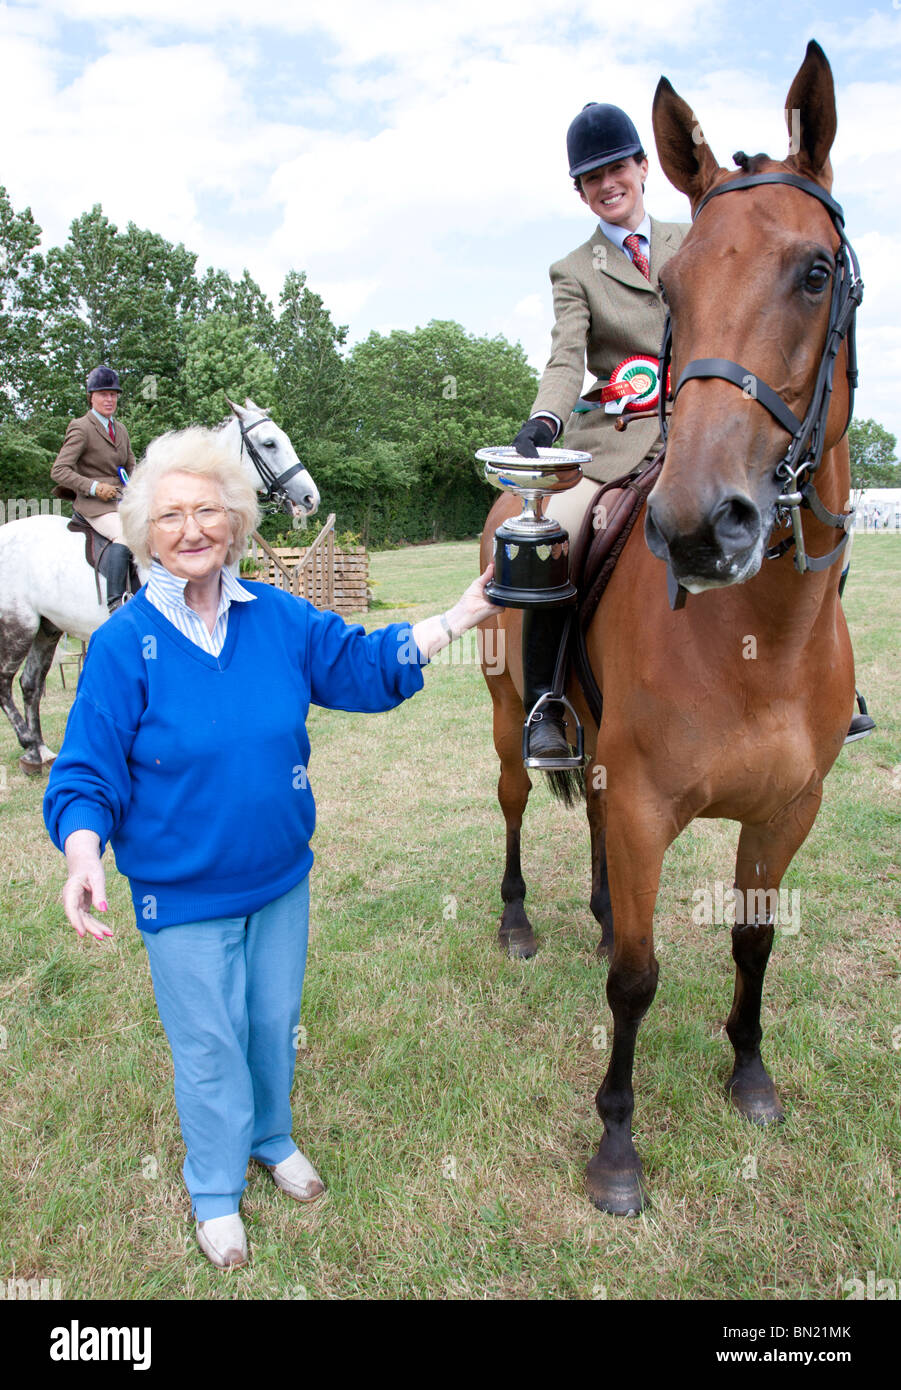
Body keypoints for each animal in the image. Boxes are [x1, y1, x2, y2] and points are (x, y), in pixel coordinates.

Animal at [0, 397, 322, 778]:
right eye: (270, 444)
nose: (310, 498)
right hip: (18, 625)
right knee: (5, 683)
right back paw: (28, 743)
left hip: (46, 627)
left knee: (30, 683)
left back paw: (38, 751)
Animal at [478, 40, 856, 1217]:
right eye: (676, 296)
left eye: (814, 272)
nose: (697, 525)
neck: (759, 639)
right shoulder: (649, 801)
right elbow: (636, 978)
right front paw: (615, 1146)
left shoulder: (788, 809)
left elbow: (750, 943)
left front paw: (750, 1075)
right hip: (511, 719)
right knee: (517, 803)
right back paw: (519, 920)